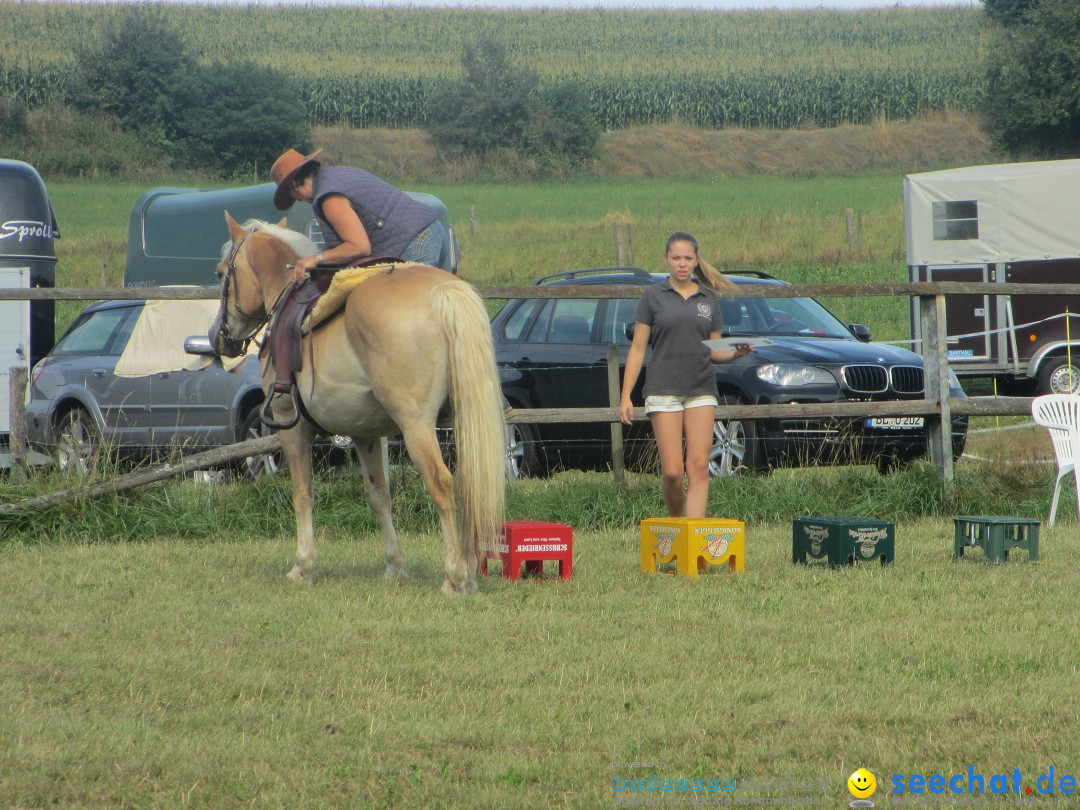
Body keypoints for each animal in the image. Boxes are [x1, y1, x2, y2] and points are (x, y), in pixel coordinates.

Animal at [209, 216, 505, 596]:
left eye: (221, 273)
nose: (219, 337)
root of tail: (441, 292)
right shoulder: (366, 434)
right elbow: (378, 494)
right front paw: (395, 564)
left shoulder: (293, 427)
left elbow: (302, 493)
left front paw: (303, 565)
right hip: (461, 424)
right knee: (469, 483)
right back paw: (468, 570)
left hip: (417, 426)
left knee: (441, 483)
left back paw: (455, 575)